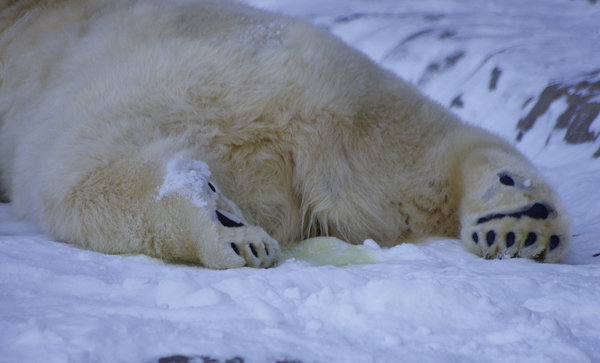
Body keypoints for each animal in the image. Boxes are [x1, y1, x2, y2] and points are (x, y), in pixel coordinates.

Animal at [1, 0, 572, 268]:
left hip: (134, 94)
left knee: (83, 181)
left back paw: (226, 232)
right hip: (364, 106)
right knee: (437, 150)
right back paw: (521, 219)